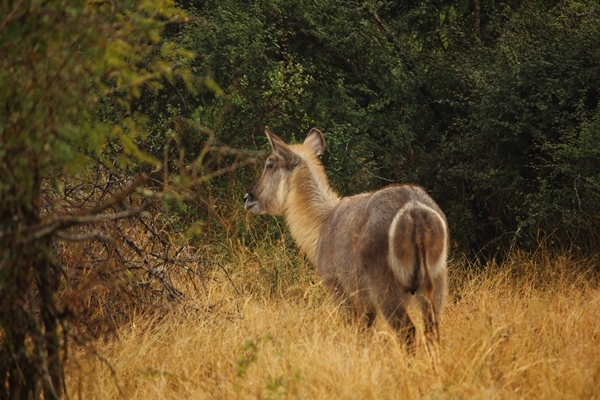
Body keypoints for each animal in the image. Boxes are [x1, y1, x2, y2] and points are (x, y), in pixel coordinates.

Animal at [243, 127, 446, 354]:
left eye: (269, 164)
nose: (248, 197)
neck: (323, 221)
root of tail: (414, 207)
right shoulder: (365, 302)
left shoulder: (338, 288)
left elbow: (355, 331)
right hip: (435, 282)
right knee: (432, 330)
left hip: (385, 288)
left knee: (407, 331)